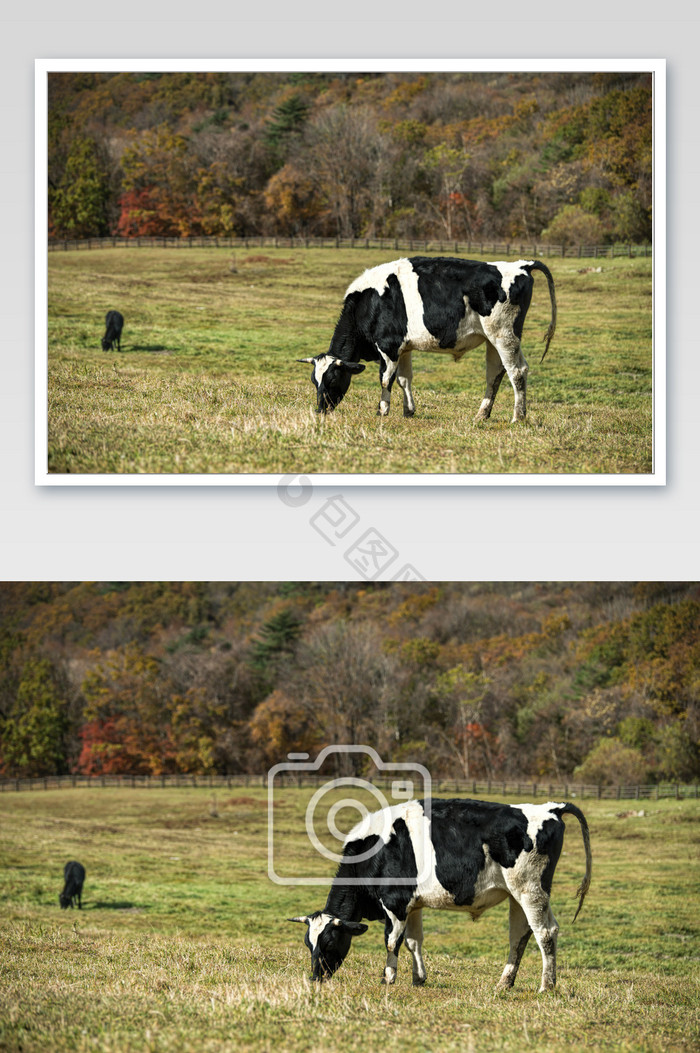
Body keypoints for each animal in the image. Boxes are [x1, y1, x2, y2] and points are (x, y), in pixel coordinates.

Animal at [288, 796, 589, 994]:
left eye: (329, 942)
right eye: (309, 944)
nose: (315, 977)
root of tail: (549, 807)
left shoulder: (395, 903)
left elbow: (392, 942)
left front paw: (388, 978)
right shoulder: (413, 905)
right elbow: (413, 942)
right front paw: (418, 978)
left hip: (530, 890)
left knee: (545, 933)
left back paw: (547, 986)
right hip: (518, 895)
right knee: (520, 935)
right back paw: (504, 983)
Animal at [296, 254, 555, 419]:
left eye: (332, 380)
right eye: (314, 382)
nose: (320, 410)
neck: (369, 303)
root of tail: (521, 265)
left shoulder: (388, 346)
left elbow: (385, 379)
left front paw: (382, 411)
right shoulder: (404, 348)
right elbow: (404, 380)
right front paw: (408, 411)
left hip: (504, 335)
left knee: (517, 372)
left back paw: (518, 417)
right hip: (493, 340)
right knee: (495, 375)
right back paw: (482, 414)